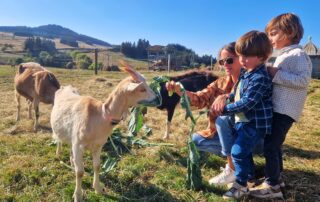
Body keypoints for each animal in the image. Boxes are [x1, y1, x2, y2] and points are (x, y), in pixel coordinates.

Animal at [50, 62, 156, 202]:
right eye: (142, 89)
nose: (157, 98)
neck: (101, 116)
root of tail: (65, 87)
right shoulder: (79, 144)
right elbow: (80, 172)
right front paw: (78, 195)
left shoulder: (98, 145)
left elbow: (97, 166)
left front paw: (98, 188)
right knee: (58, 139)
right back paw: (58, 153)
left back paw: (72, 163)